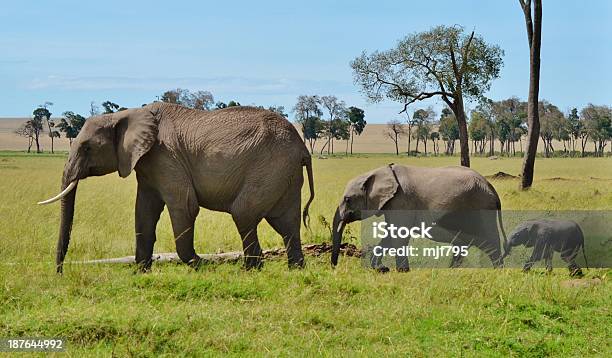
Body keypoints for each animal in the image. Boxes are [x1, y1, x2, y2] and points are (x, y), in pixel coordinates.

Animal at [330, 164, 506, 270]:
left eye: (347, 199)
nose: (334, 267)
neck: (379, 171)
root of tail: (491, 188)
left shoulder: (402, 201)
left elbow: (398, 234)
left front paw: (402, 271)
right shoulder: (392, 204)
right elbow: (390, 234)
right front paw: (380, 269)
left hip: (481, 208)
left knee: (490, 242)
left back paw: (498, 271)